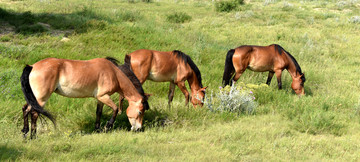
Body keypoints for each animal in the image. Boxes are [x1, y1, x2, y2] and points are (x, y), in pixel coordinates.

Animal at [19, 56, 150, 138]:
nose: (138, 128)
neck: (113, 73)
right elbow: (115, 109)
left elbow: (98, 113)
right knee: (34, 113)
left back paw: (25, 133)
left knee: (26, 109)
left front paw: (98, 129)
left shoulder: (100, 99)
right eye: (140, 112)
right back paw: (33, 136)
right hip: (41, 99)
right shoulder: (103, 96)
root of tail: (32, 66)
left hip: (34, 98)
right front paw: (108, 126)